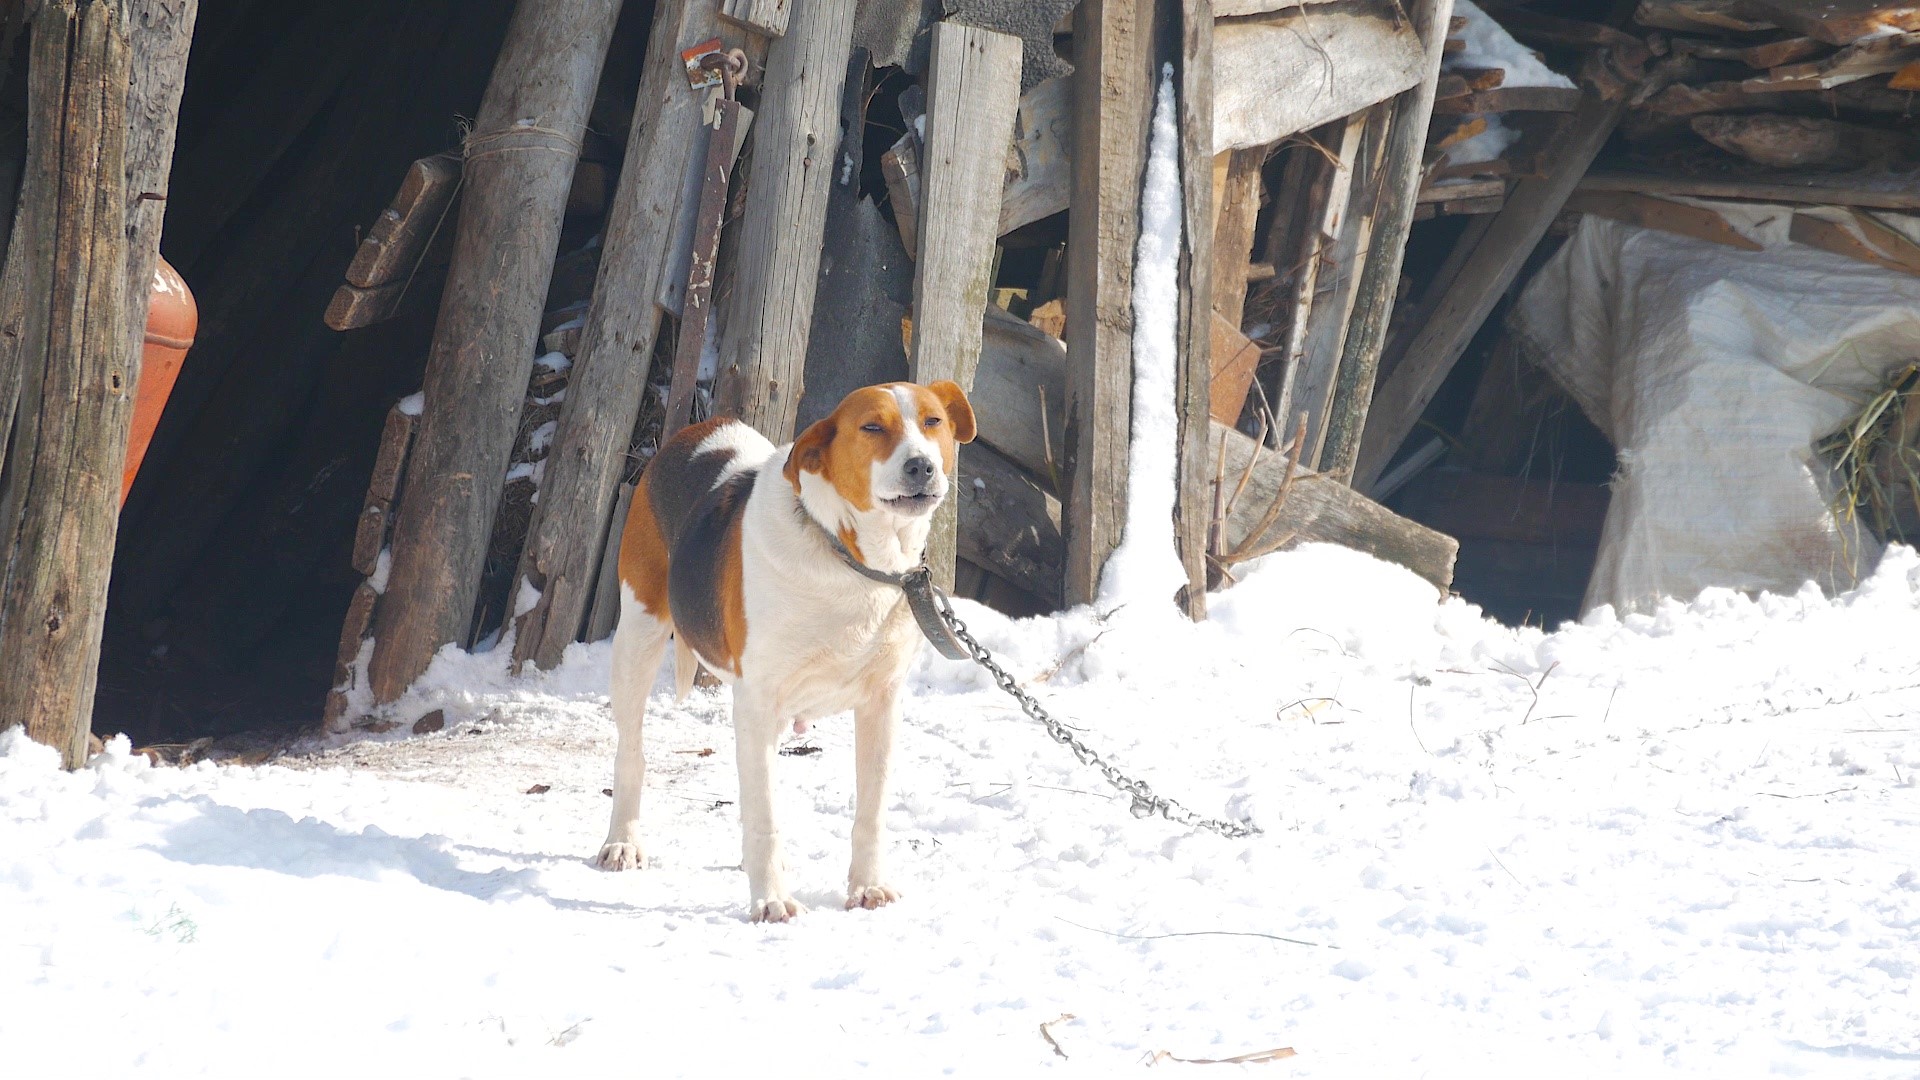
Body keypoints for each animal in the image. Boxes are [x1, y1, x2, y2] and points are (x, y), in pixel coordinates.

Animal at [595, 378, 975, 914]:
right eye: (872, 427)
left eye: (933, 421)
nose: (921, 465)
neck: (852, 560)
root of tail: (696, 430)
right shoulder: (758, 702)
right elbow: (766, 820)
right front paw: (770, 900)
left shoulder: (881, 705)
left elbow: (870, 812)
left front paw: (867, 886)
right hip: (638, 637)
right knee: (632, 753)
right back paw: (623, 842)